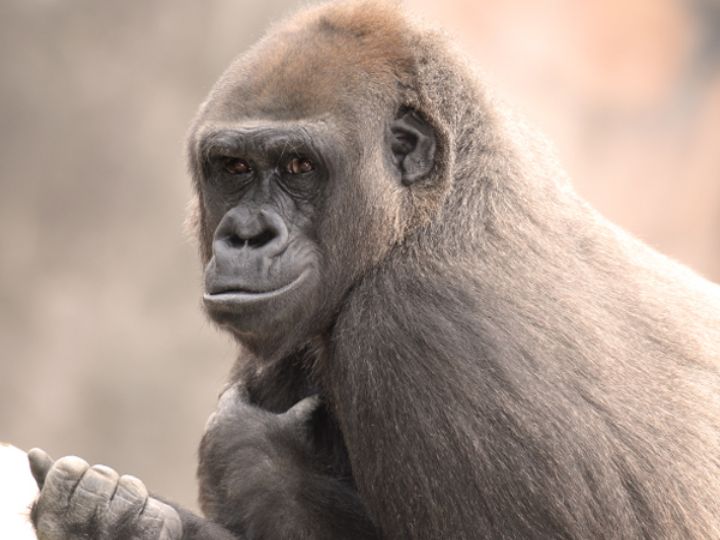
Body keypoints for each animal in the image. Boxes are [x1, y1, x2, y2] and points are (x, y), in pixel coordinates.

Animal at [29, 1, 720, 539]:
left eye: (300, 167)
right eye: (234, 167)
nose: (247, 236)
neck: (435, 210)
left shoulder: (419, 330)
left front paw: (255, 462)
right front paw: (107, 522)